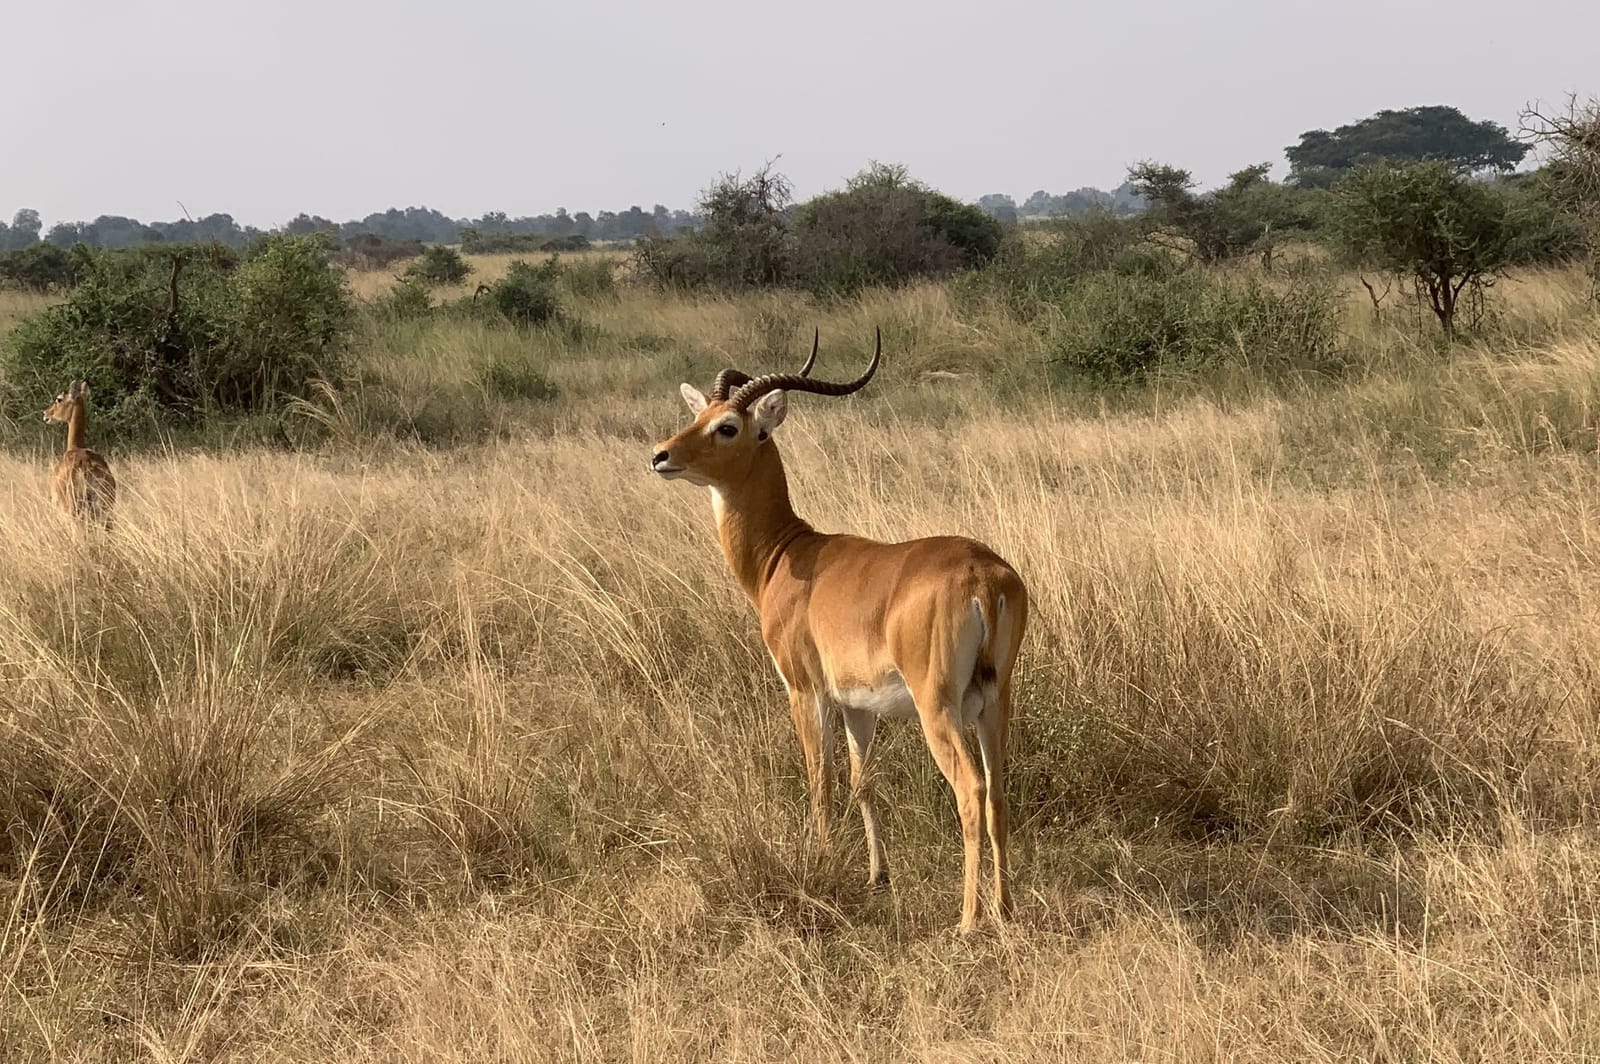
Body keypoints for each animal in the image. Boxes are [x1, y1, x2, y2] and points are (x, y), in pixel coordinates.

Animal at [651, 330, 1029, 931]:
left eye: (727, 426)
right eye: (699, 414)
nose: (661, 455)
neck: (785, 557)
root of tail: (984, 575)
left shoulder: (805, 692)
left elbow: (820, 781)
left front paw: (821, 862)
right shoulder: (857, 704)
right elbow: (862, 781)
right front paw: (878, 875)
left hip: (938, 708)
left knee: (970, 790)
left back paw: (968, 921)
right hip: (995, 702)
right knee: (997, 794)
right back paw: (1003, 907)